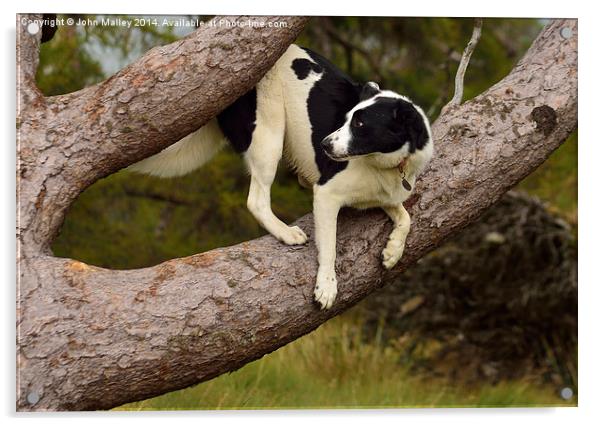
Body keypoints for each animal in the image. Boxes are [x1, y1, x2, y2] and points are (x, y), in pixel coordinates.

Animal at [131, 44, 432, 310]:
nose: (324, 145)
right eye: (347, 119)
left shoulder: (386, 195)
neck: (386, 165)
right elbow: (330, 246)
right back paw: (286, 232)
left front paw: (393, 251)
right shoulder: (327, 194)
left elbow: (406, 217)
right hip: (269, 133)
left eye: (359, 124)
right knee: (257, 200)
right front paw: (326, 286)